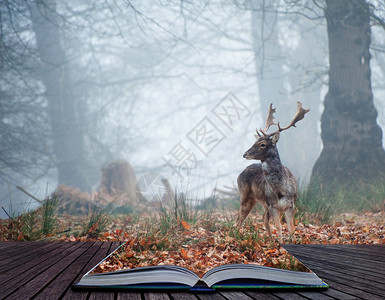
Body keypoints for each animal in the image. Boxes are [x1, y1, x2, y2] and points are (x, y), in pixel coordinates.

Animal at [236, 101, 310, 241]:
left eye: (262, 144)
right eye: (255, 141)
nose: (245, 154)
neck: (281, 191)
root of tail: (241, 173)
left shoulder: (291, 205)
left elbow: (291, 229)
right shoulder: (273, 205)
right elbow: (279, 227)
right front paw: (280, 244)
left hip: (263, 204)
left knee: (263, 220)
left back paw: (270, 240)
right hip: (246, 196)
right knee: (238, 220)